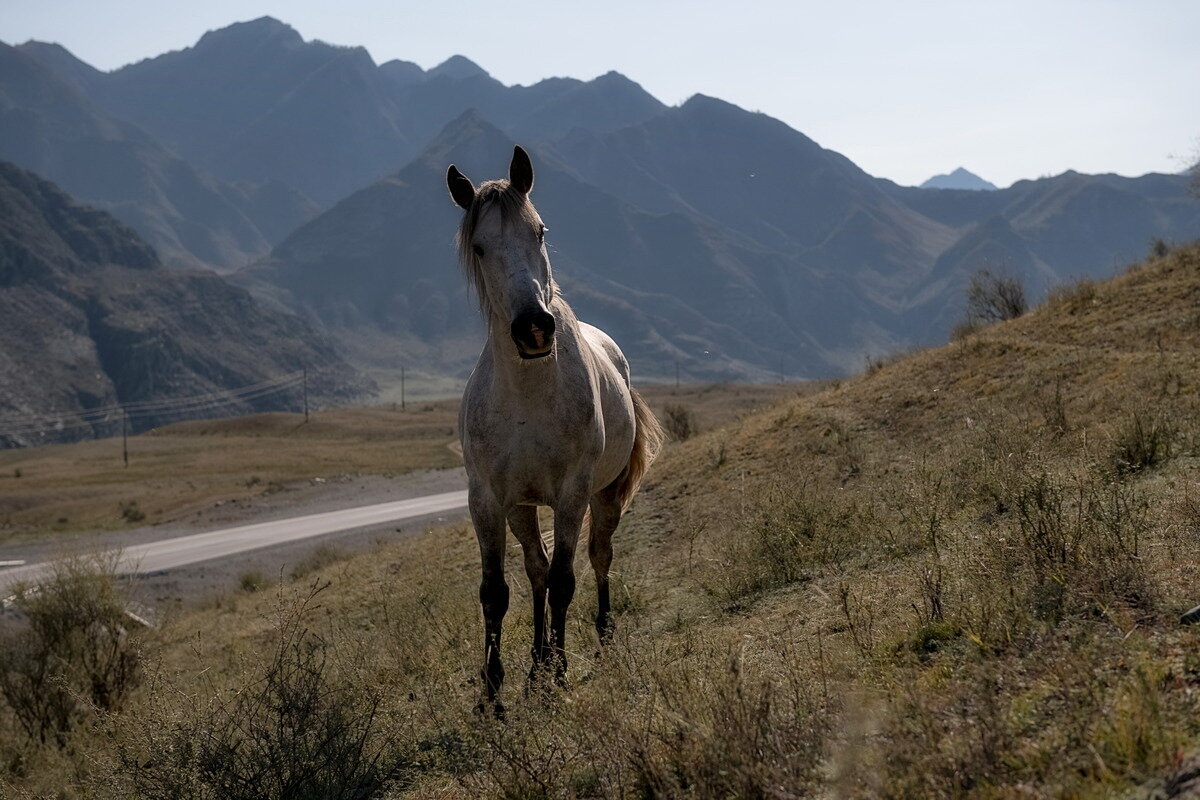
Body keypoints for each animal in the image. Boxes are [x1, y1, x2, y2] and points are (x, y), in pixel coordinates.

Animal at [448, 146, 662, 714]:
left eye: (540, 231)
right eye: (479, 247)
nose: (534, 329)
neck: (528, 397)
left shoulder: (571, 493)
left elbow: (567, 579)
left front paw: (562, 674)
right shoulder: (488, 499)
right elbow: (497, 590)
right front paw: (493, 689)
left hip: (604, 496)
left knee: (598, 556)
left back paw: (599, 637)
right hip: (522, 508)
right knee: (536, 570)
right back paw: (536, 663)